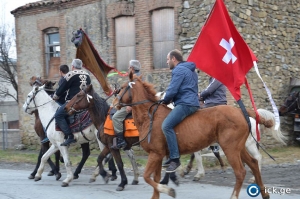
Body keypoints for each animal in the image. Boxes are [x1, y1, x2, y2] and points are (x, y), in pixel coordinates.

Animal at [111, 72, 270, 199]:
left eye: (122, 87)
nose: (114, 103)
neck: (149, 117)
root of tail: (241, 112)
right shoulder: (158, 155)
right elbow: (154, 181)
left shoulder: (155, 154)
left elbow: (147, 178)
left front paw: (169, 190)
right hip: (239, 148)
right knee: (254, 164)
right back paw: (264, 193)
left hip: (230, 149)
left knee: (241, 172)